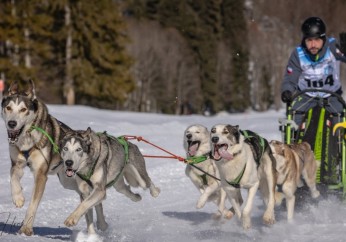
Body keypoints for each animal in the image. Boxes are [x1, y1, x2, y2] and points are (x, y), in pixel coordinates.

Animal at [0, 80, 77, 235]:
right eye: (8, 108)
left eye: (23, 110)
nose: (12, 123)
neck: (27, 140)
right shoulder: (17, 164)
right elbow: (13, 178)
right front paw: (18, 198)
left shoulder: (41, 175)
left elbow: (33, 204)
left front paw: (26, 228)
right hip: (67, 182)